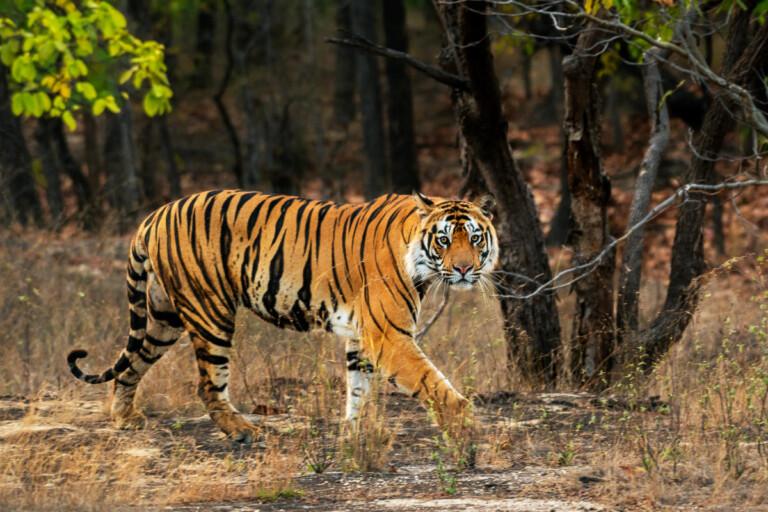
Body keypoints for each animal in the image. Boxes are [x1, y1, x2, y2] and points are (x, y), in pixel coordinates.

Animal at [67, 190, 498, 444]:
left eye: (475, 238)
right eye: (444, 239)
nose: (463, 269)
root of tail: (155, 214)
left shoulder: (363, 336)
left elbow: (358, 389)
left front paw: (353, 433)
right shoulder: (388, 336)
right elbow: (432, 382)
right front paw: (465, 424)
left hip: (162, 316)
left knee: (130, 366)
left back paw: (125, 418)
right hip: (210, 312)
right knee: (207, 386)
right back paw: (243, 431)